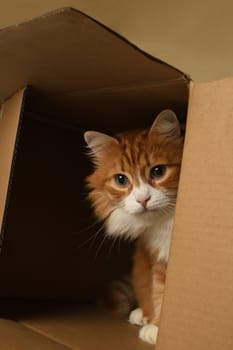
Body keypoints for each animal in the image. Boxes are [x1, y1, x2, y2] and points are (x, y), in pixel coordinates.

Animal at [83, 110, 184, 346]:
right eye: (121, 180)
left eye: (158, 171)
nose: (142, 199)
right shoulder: (157, 260)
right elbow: (159, 293)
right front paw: (156, 327)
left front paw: (158, 330)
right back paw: (141, 315)